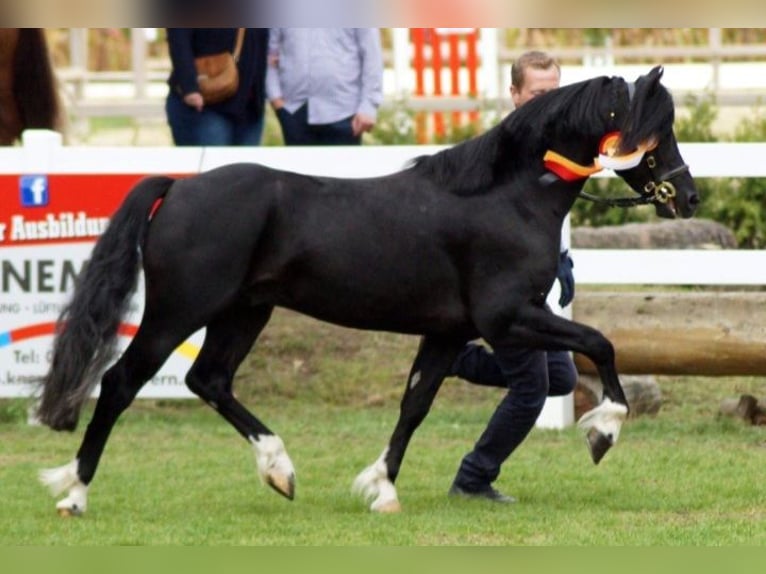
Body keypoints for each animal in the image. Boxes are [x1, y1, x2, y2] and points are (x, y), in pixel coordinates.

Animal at [36, 66, 700, 516]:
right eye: (657, 129)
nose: (688, 197)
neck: (504, 196)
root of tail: (178, 187)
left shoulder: (448, 332)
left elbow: (415, 404)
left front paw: (381, 487)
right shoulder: (508, 317)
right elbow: (602, 342)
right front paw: (603, 432)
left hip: (245, 312)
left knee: (210, 380)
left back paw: (280, 471)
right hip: (179, 312)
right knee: (120, 383)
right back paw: (74, 492)